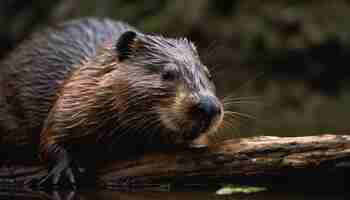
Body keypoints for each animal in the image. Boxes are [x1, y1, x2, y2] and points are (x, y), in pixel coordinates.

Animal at [0, 18, 223, 187]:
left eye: (208, 74)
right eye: (167, 73)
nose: (208, 107)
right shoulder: (73, 97)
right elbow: (50, 135)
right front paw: (63, 171)